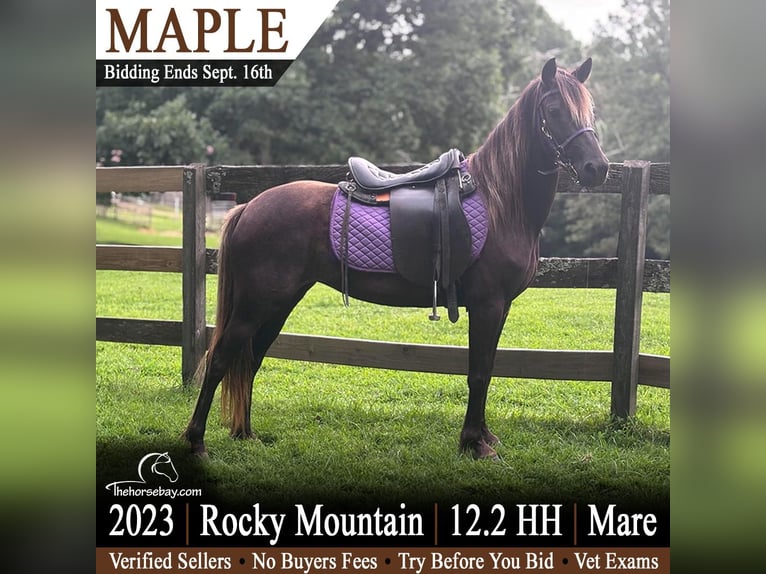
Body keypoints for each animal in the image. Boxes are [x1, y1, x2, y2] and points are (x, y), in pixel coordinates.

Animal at [184, 58, 609, 460]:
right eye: (553, 109)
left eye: (589, 109)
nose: (598, 168)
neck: (500, 202)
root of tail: (250, 207)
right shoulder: (487, 305)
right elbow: (478, 373)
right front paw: (474, 444)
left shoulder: (500, 307)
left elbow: (487, 367)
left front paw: (484, 436)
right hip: (256, 303)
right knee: (220, 358)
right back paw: (196, 442)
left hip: (279, 303)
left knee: (250, 359)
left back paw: (246, 434)